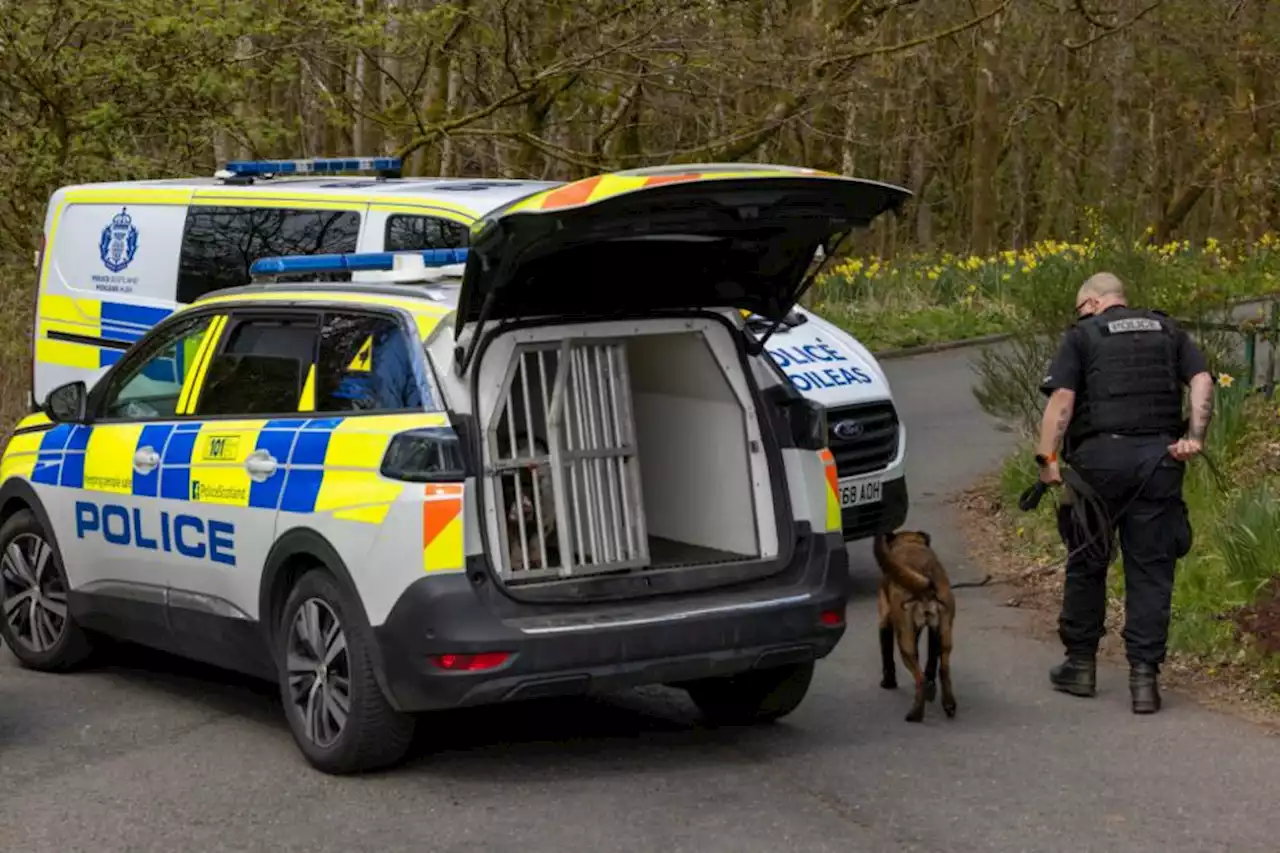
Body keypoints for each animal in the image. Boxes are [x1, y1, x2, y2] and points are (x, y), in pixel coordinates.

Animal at [875, 527, 957, 722]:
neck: (909, 542)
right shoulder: (930, 629)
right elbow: (930, 660)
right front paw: (931, 685)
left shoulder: (885, 621)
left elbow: (887, 656)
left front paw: (888, 682)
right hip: (944, 633)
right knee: (943, 668)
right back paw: (947, 702)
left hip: (905, 642)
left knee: (918, 676)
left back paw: (916, 713)